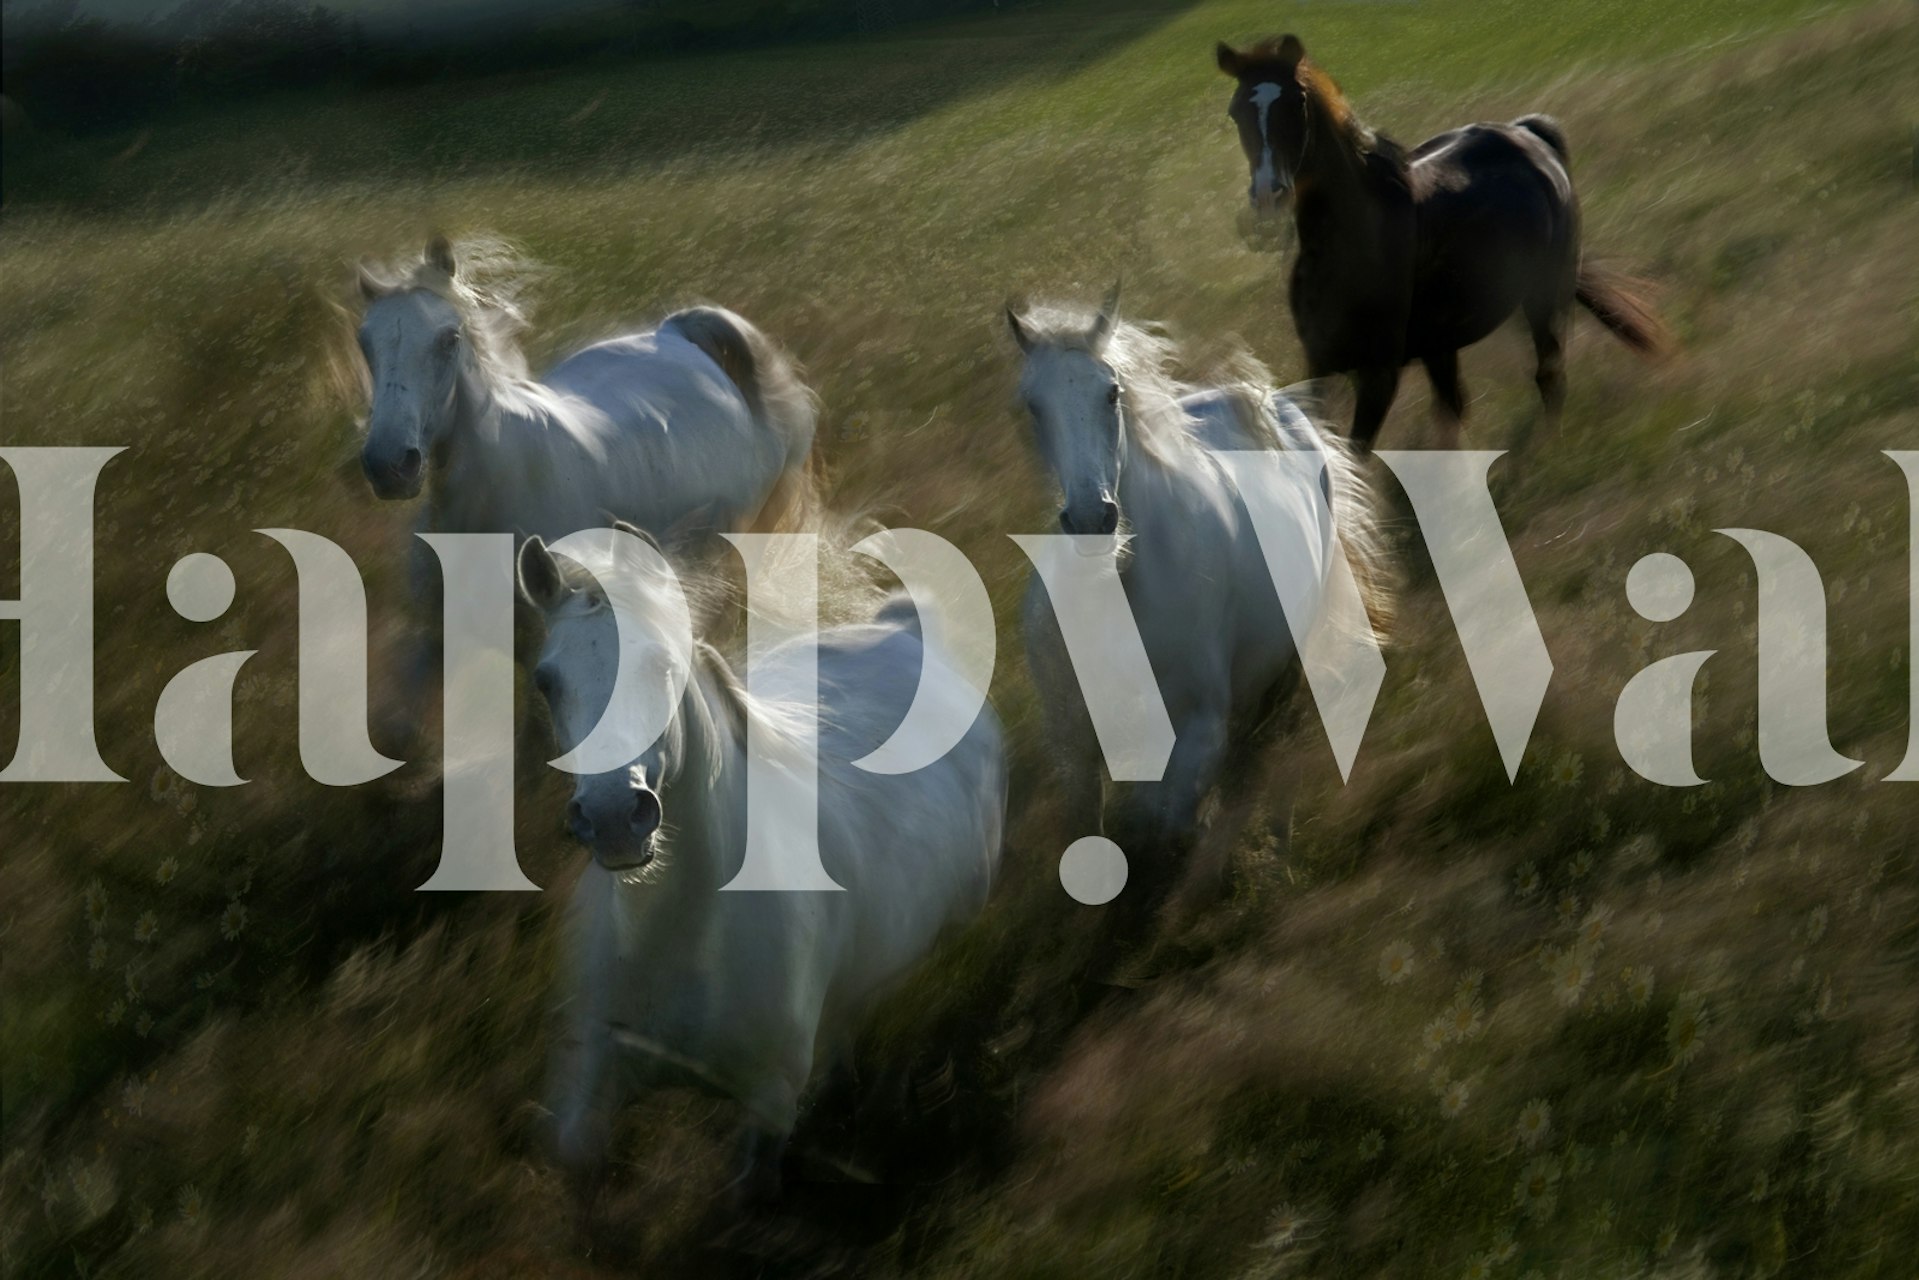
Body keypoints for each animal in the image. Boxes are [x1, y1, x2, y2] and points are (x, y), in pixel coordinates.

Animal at [352, 234, 817, 734]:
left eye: (448, 339)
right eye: (365, 342)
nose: (389, 465)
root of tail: (676, 333)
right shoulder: (434, 640)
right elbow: (402, 733)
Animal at [518, 524, 1006, 1206]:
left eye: (663, 666)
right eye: (546, 680)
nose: (614, 816)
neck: (683, 938)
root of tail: (904, 629)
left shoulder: (768, 1106)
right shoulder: (587, 1077)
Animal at [1006, 286, 1390, 921]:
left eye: (1110, 392)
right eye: (1032, 406)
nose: (1091, 520)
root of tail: (1282, 407)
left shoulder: (1200, 731)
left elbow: (1165, 827)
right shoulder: (1073, 741)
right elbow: (1097, 838)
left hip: (1286, 671)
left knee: (1266, 759)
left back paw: (1272, 854)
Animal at [1215, 35, 1668, 451]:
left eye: (1297, 102)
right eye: (1236, 111)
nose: (1268, 196)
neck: (1351, 244)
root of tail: (1528, 133)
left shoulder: (1379, 374)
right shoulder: (1320, 364)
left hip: (1545, 299)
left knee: (1549, 376)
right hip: (1443, 343)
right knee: (1454, 405)